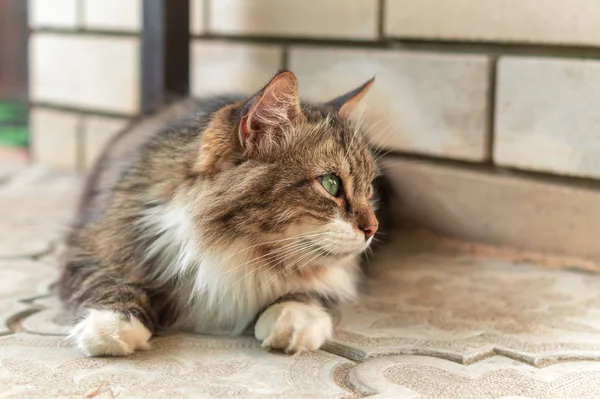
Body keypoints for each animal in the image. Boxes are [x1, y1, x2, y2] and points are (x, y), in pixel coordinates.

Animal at [57, 71, 380, 356]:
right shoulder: (92, 242)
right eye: (330, 184)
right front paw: (111, 327)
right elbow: (109, 282)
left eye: (369, 189)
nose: (372, 229)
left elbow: (310, 290)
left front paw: (294, 317)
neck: (236, 254)